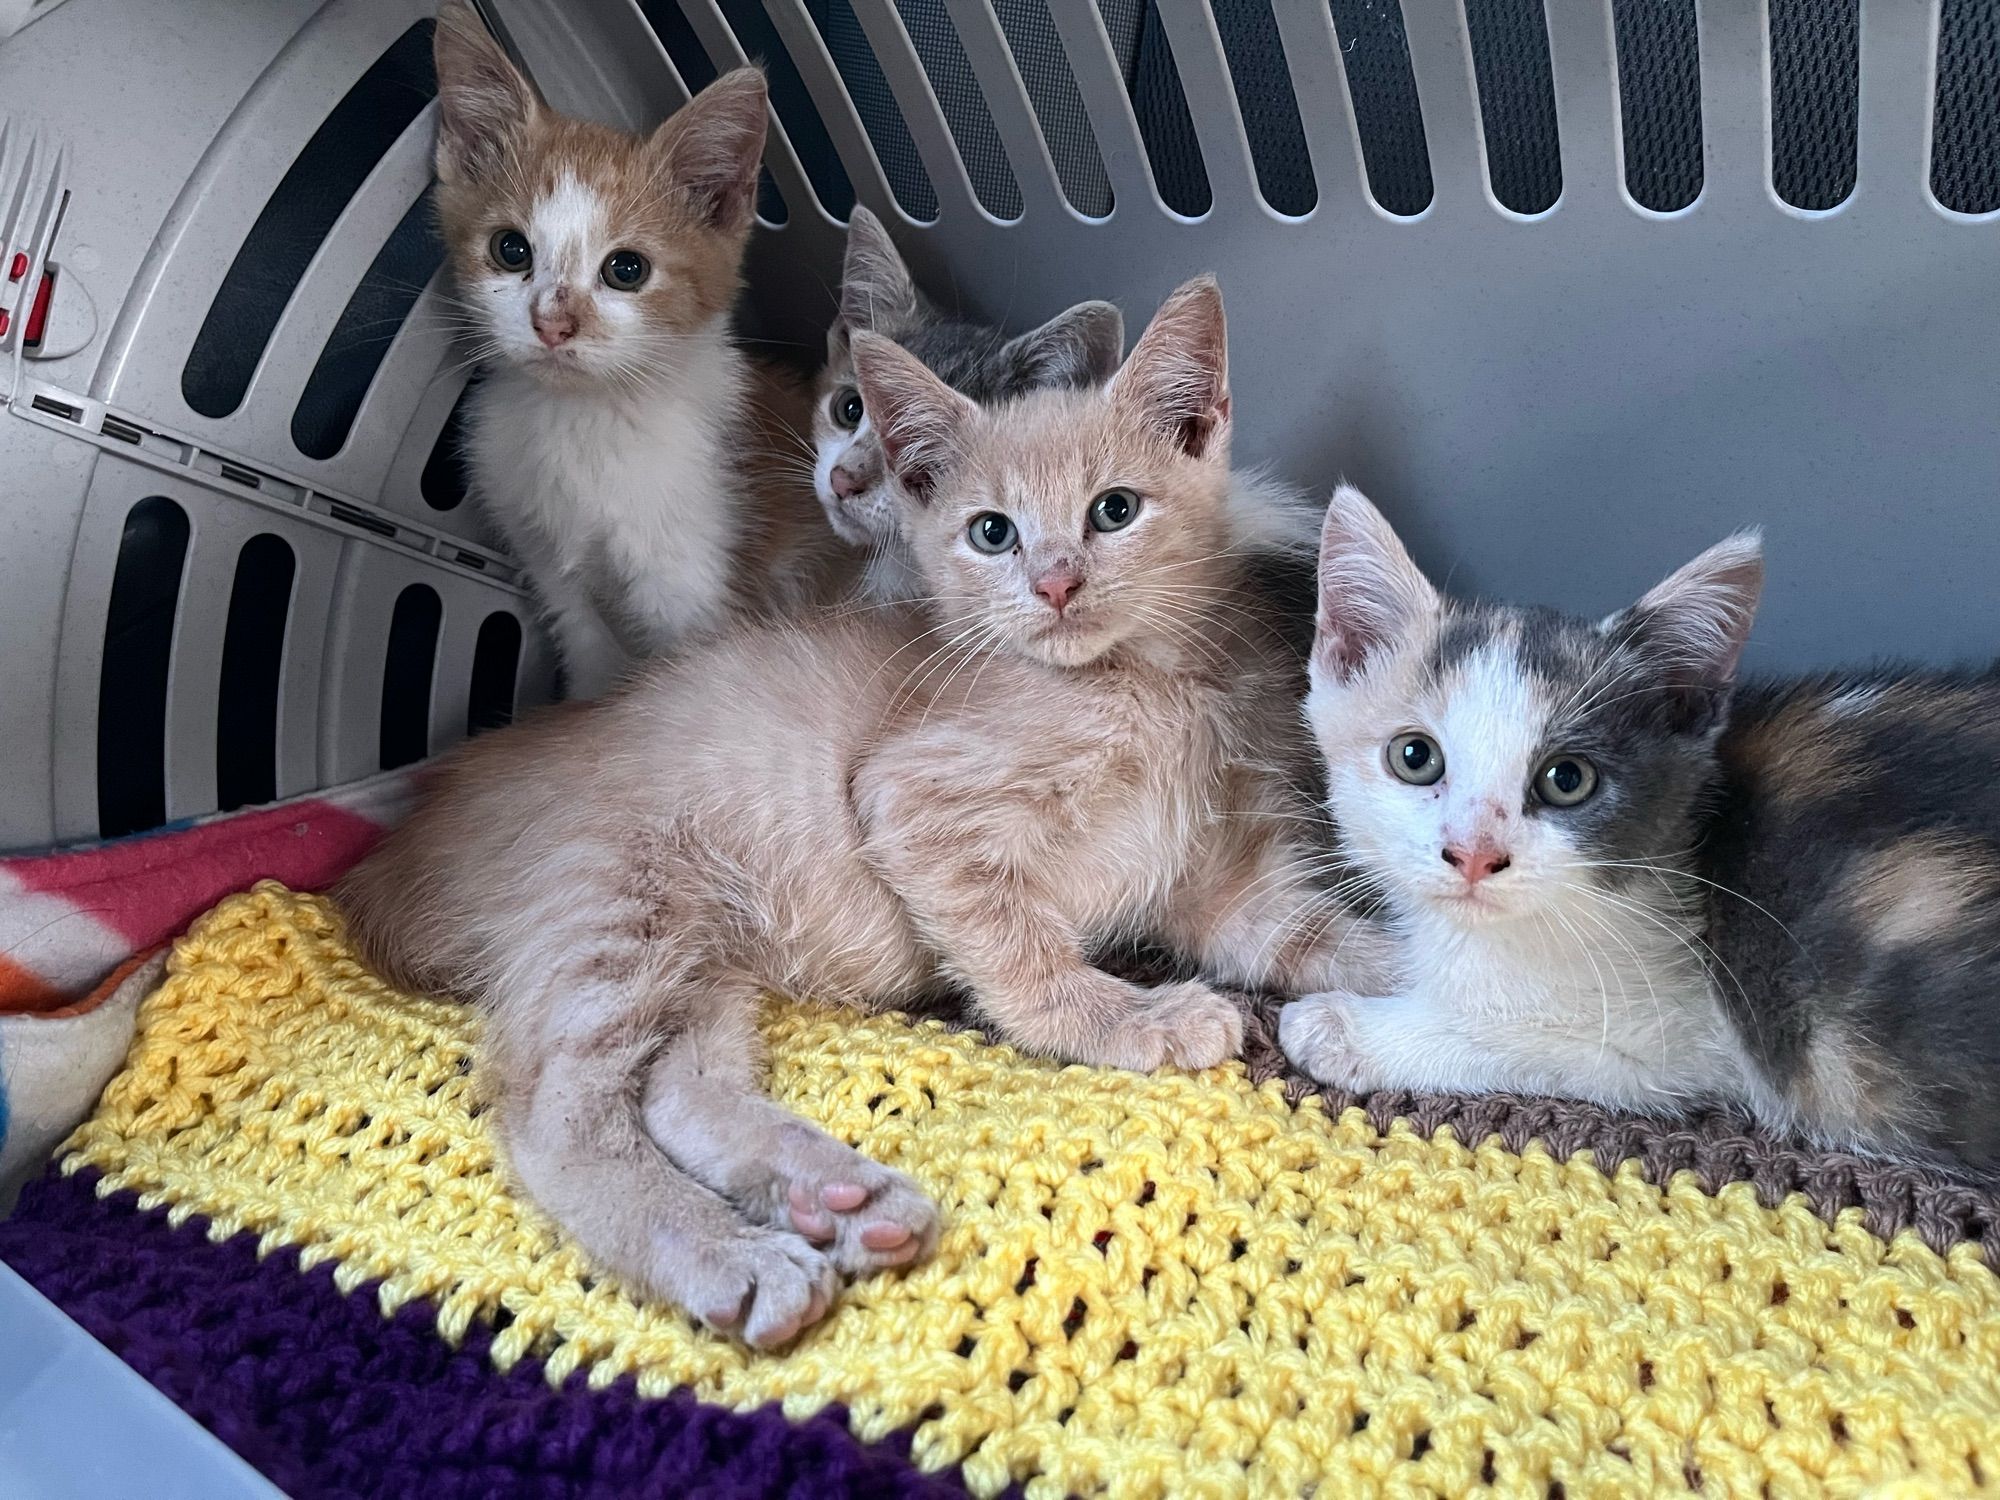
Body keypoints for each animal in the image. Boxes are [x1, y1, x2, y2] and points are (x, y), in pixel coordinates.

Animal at [336, 282, 1392, 1352]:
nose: (1055, 583)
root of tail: (406, 836)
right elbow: (1022, 957)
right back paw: (734, 1258)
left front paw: (1409, 981)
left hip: (697, 952)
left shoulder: (1205, 888)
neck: (1142, 689)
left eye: (1116, 509)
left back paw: (833, 1199)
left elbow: (1303, 933)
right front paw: (1130, 1019)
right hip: (616, 908)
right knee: (556, 1114)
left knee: (679, 1087)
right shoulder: (907, 798)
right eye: (993, 532)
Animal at [434, 2, 832, 700]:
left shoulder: (691, 585)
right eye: (510, 250)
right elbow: (593, 669)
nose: (552, 323)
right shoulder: (555, 579)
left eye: (627, 269)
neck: (583, 421)